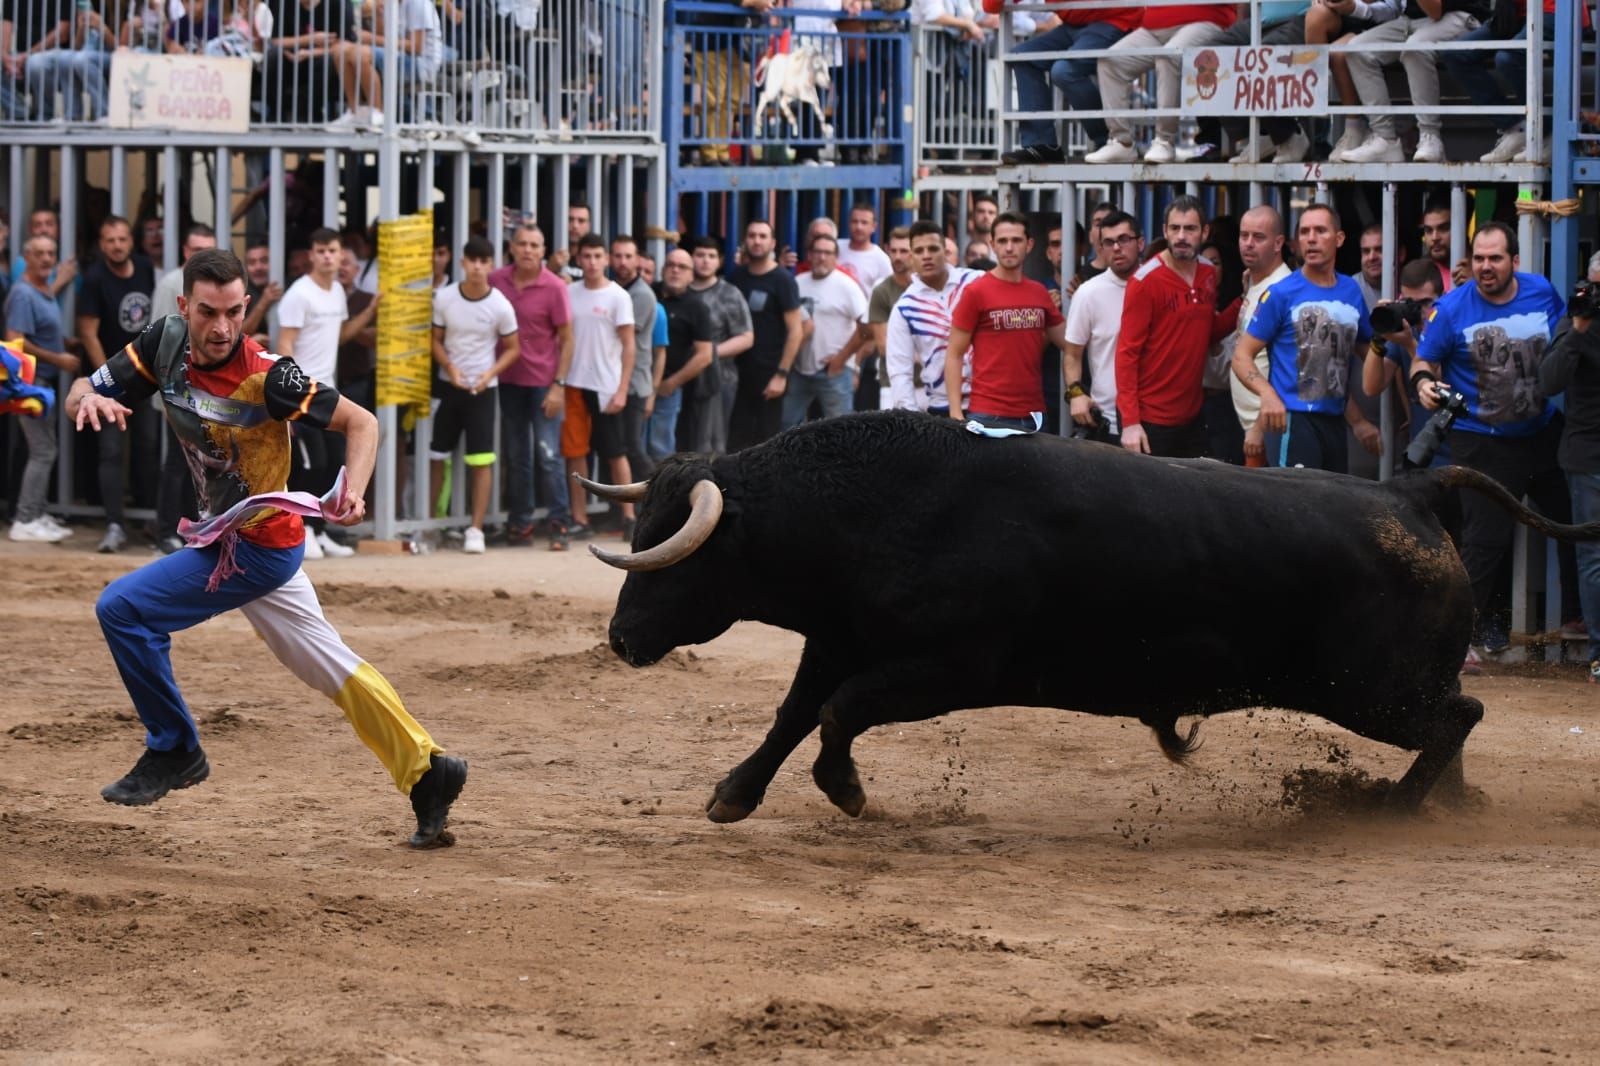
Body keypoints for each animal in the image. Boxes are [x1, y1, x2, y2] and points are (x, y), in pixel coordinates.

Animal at [588, 409, 1600, 816]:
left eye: (679, 555)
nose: (623, 639)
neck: (871, 507)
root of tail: (1410, 490)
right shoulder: (838, 642)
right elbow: (794, 713)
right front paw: (733, 795)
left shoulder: (951, 670)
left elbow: (836, 716)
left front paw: (846, 791)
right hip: (1386, 688)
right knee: (1455, 723)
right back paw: (1449, 805)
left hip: (1370, 692)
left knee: (1461, 714)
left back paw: (1393, 807)